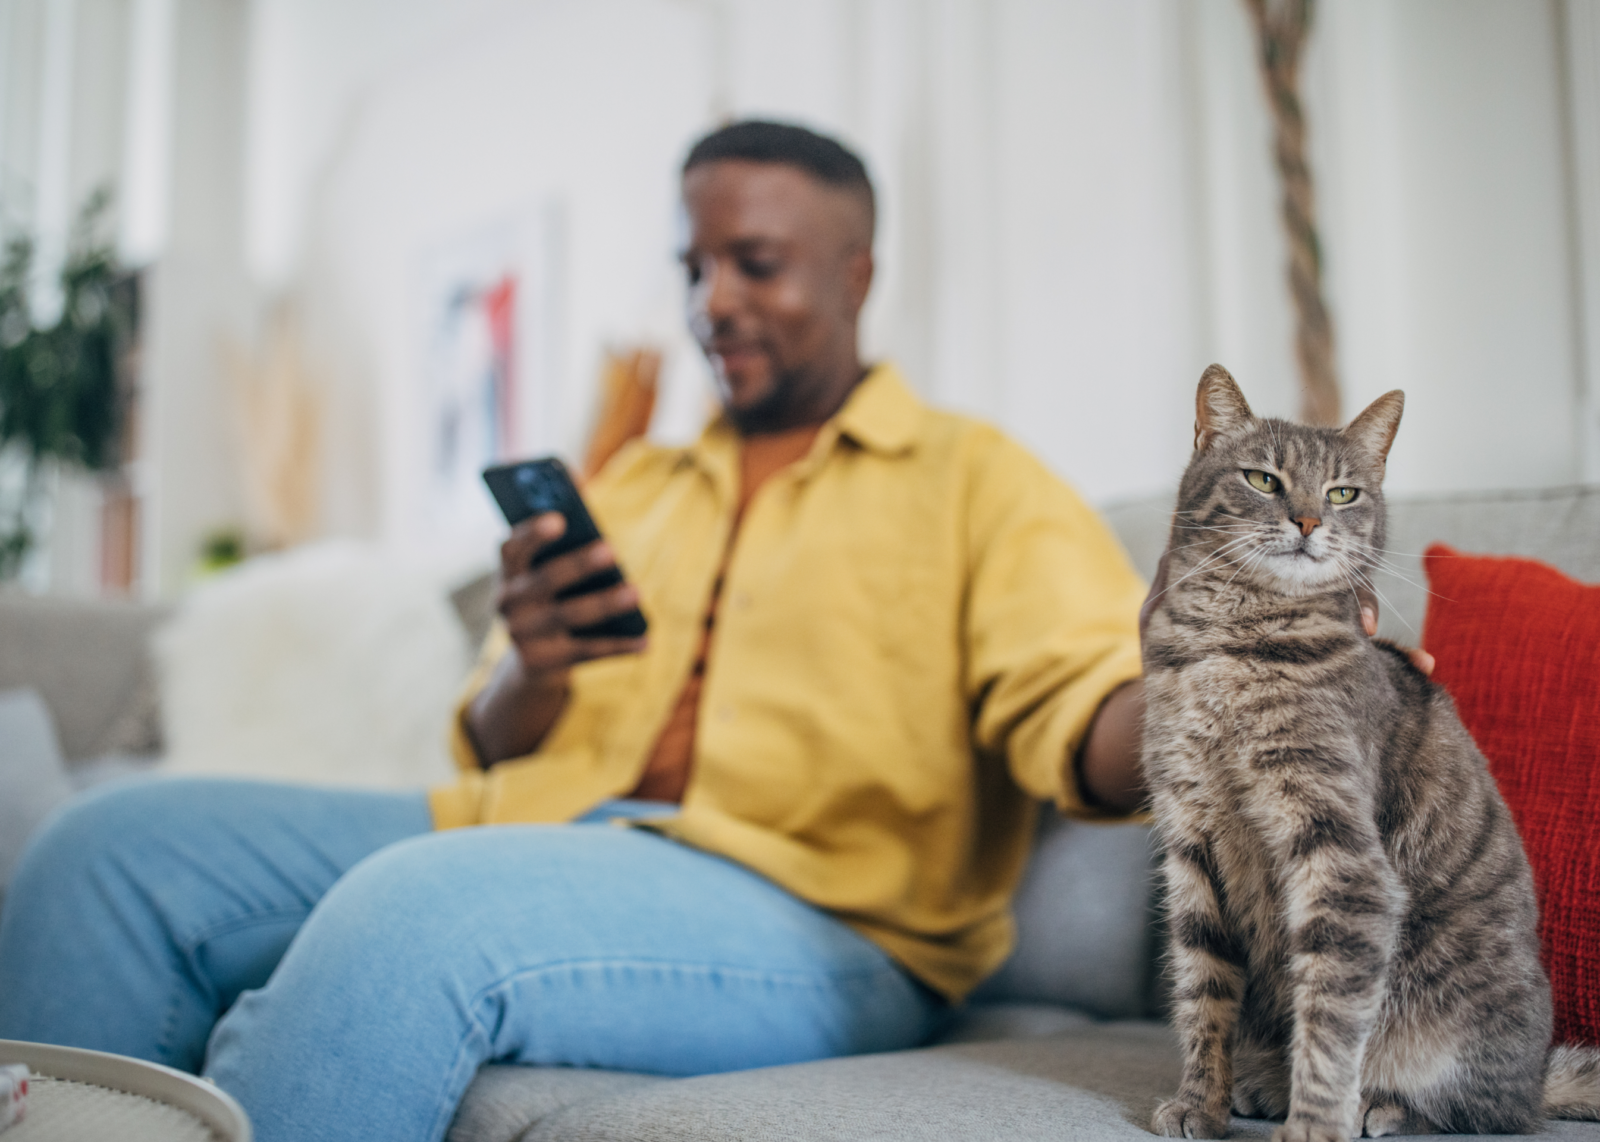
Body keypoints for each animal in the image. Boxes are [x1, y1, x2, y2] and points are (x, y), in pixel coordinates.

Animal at [1139, 366, 1600, 1138]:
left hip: (1453, 1023)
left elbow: (1330, 1019)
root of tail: (1540, 1077)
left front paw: (1313, 1126)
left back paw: (1379, 1106)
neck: (1230, 642)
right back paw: (1261, 1084)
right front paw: (1200, 1103)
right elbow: (1203, 995)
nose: (1307, 522)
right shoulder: (1192, 844)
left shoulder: (1339, 852)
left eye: (1343, 493)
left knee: (1480, 1110)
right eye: (1263, 479)